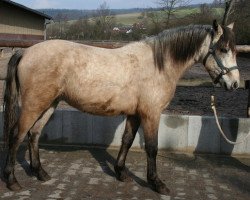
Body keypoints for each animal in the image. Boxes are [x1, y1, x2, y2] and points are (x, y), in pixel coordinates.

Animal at [3, 20, 238, 194]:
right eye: (223, 49)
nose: (235, 84)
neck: (158, 65)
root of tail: (25, 53)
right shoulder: (151, 114)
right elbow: (152, 147)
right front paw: (157, 183)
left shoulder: (135, 114)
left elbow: (127, 140)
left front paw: (121, 173)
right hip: (34, 105)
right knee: (16, 135)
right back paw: (12, 181)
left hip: (49, 104)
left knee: (34, 134)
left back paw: (40, 173)